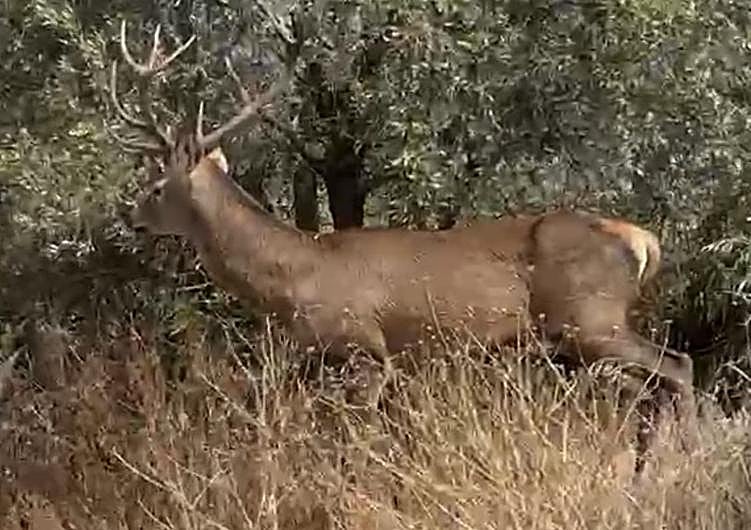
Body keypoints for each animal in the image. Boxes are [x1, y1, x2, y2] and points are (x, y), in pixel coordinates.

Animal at [108, 20, 696, 475]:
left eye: (156, 187)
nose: (130, 216)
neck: (294, 275)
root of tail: (642, 240)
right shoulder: (320, 358)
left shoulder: (366, 348)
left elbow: (357, 443)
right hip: (577, 340)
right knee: (652, 390)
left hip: (591, 318)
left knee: (679, 365)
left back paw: (685, 465)